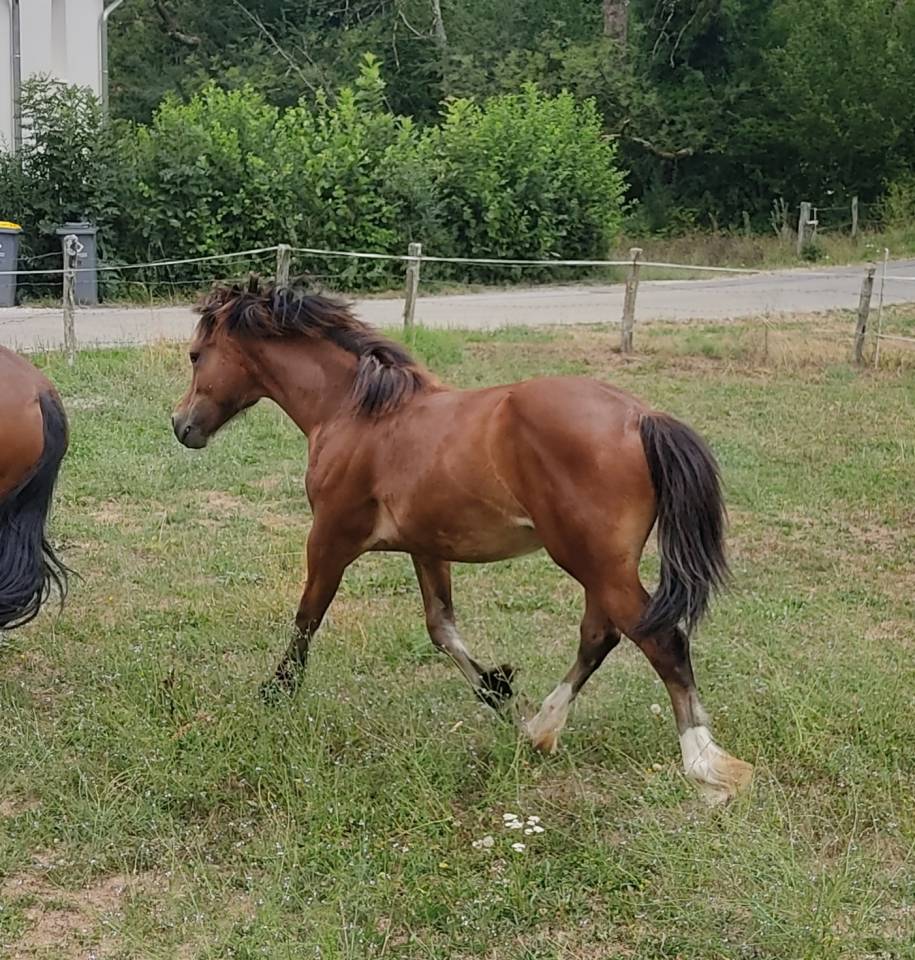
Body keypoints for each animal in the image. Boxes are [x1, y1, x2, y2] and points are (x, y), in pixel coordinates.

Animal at [172, 278, 753, 803]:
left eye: (197, 355)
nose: (181, 426)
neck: (357, 413)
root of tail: (642, 417)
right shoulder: (427, 548)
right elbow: (441, 627)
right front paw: (497, 688)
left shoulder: (331, 537)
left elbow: (307, 617)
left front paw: (277, 692)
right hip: (599, 563)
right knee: (600, 635)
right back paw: (540, 728)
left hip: (593, 561)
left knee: (661, 640)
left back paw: (704, 763)